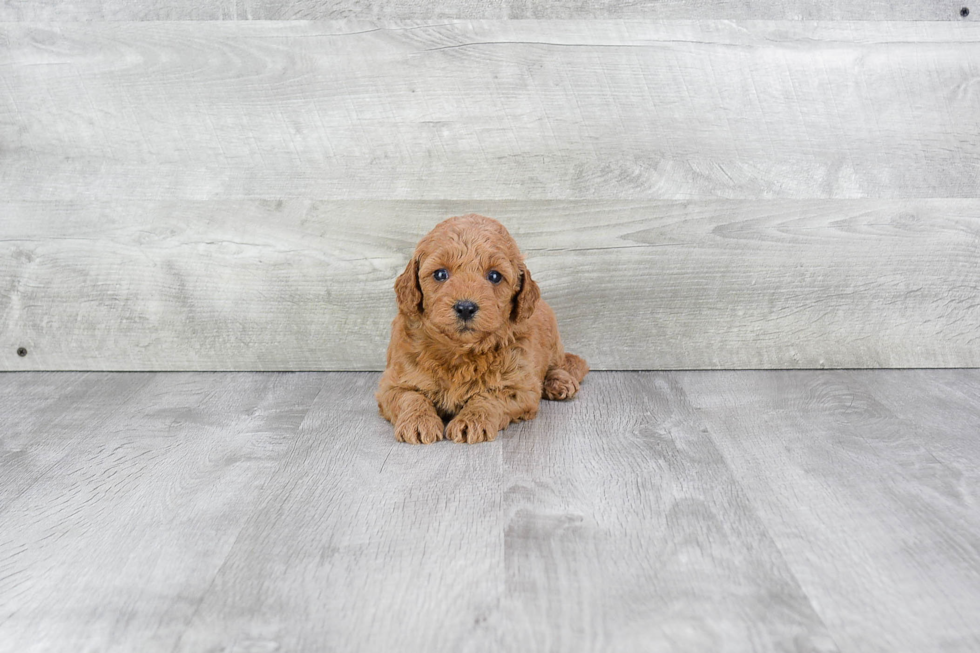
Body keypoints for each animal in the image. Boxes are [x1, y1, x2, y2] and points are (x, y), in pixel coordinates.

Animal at [378, 214, 584, 444]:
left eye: (494, 276)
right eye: (440, 274)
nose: (465, 308)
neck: (459, 352)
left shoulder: (520, 388)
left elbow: (488, 397)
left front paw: (471, 420)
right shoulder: (393, 382)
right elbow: (410, 396)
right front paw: (418, 421)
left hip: (553, 339)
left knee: (564, 363)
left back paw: (560, 382)